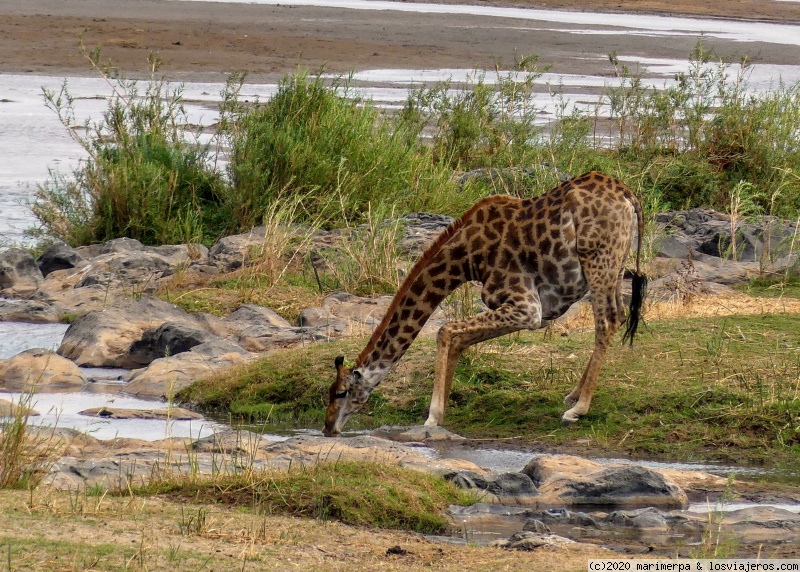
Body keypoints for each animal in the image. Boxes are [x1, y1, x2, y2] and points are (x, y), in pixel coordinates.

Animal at [322, 172, 648, 436]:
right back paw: (574, 395)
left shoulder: (526, 308)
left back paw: (578, 409)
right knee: (618, 316)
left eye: (340, 393)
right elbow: (458, 339)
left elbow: (445, 330)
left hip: (598, 258)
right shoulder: (529, 310)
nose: (327, 428)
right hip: (614, 262)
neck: (465, 258)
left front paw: (432, 417)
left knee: (606, 320)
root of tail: (627, 194)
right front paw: (441, 413)